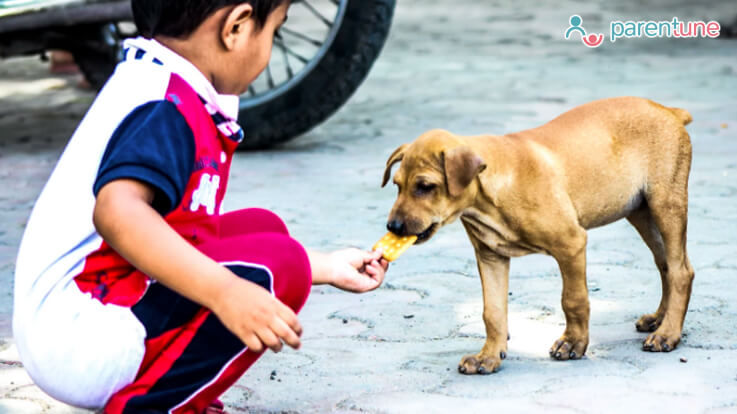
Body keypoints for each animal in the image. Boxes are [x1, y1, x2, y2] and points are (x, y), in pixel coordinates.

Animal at [382, 97, 692, 376]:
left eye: (425, 186)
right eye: (396, 185)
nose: (393, 227)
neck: (489, 198)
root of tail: (670, 111)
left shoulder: (571, 243)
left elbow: (573, 299)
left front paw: (573, 343)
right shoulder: (491, 256)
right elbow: (492, 311)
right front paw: (488, 356)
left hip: (666, 206)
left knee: (681, 271)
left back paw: (668, 334)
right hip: (640, 212)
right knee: (666, 265)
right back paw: (659, 320)